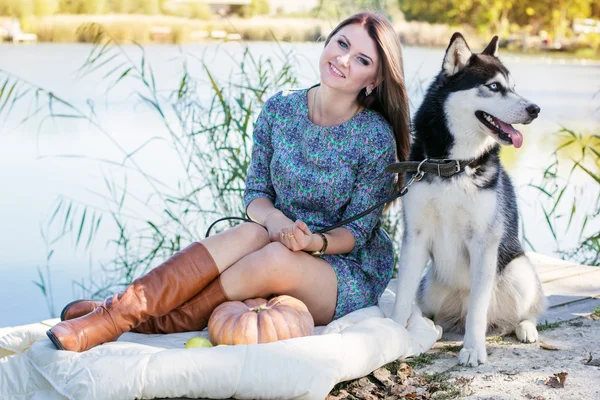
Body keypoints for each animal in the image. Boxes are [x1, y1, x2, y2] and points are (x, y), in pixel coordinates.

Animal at [392, 32, 548, 368]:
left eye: (513, 86)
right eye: (494, 87)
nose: (535, 109)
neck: (455, 165)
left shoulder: (483, 242)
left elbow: (479, 307)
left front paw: (474, 349)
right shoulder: (415, 237)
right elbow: (401, 296)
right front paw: (390, 332)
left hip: (518, 270)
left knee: (522, 311)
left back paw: (526, 327)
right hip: (430, 285)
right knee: (428, 309)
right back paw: (431, 325)